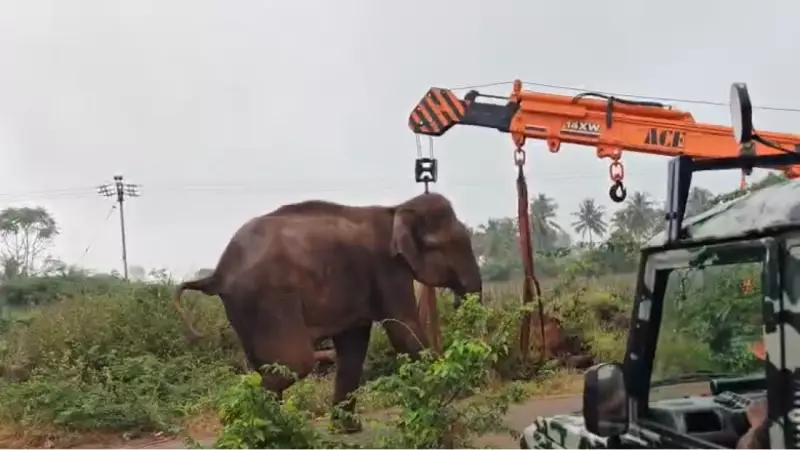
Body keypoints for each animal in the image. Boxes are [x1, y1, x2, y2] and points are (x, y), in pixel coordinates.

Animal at [172, 192, 482, 432]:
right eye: (456, 244)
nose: (459, 301)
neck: (397, 209)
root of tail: (216, 275)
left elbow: (354, 346)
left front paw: (347, 429)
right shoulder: (387, 269)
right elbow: (403, 330)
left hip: (244, 309)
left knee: (266, 364)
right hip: (268, 297)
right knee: (295, 363)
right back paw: (253, 427)